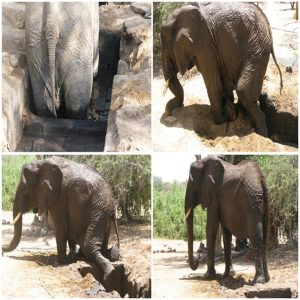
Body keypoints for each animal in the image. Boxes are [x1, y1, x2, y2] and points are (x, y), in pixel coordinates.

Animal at [2, 156, 119, 290]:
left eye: (25, 189)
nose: (2, 251)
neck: (41, 164)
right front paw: (71, 258)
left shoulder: (59, 195)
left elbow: (61, 227)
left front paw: (61, 262)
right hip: (103, 215)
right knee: (99, 246)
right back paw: (109, 255)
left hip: (98, 212)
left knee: (89, 246)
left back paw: (109, 275)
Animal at [161, 2, 282, 137]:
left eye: (167, 53)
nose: (169, 112)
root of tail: (267, 23)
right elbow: (222, 84)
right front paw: (230, 110)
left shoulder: (205, 45)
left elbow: (214, 85)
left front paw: (226, 116)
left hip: (257, 48)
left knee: (244, 91)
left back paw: (262, 133)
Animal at [184, 156, 270, 284]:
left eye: (194, 188)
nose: (198, 259)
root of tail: (261, 179)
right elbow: (226, 235)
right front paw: (227, 274)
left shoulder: (214, 196)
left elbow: (211, 227)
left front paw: (208, 276)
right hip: (264, 201)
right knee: (264, 236)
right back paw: (267, 279)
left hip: (251, 202)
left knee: (256, 236)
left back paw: (257, 280)